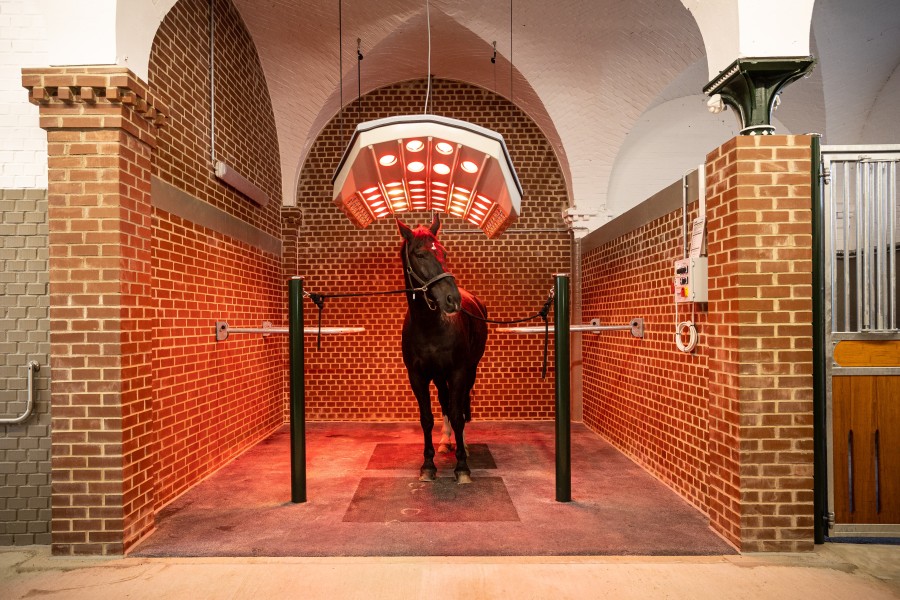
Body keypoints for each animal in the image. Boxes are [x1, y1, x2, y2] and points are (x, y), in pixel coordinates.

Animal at [398, 213, 488, 486]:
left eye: (444, 253)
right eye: (419, 254)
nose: (452, 299)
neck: (430, 326)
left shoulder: (458, 372)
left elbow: (459, 414)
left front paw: (462, 466)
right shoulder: (417, 377)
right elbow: (427, 418)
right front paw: (428, 466)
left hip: (470, 371)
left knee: (459, 405)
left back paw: (462, 444)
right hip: (438, 377)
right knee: (445, 401)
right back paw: (446, 441)